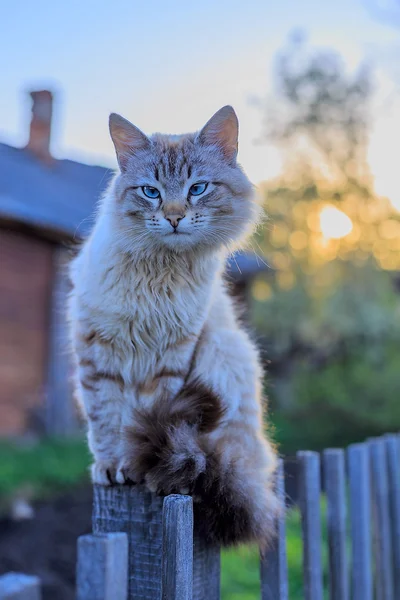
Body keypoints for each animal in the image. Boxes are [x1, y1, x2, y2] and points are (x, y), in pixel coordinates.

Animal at [69, 105, 280, 548]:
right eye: (150, 192)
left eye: (197, 188)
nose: (174, 217)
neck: (160, 272)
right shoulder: (99, 353)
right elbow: (107, 420)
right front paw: (112, 468)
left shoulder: (171, 359)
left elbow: (145, 418)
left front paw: (137, 468)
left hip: (225, 354)